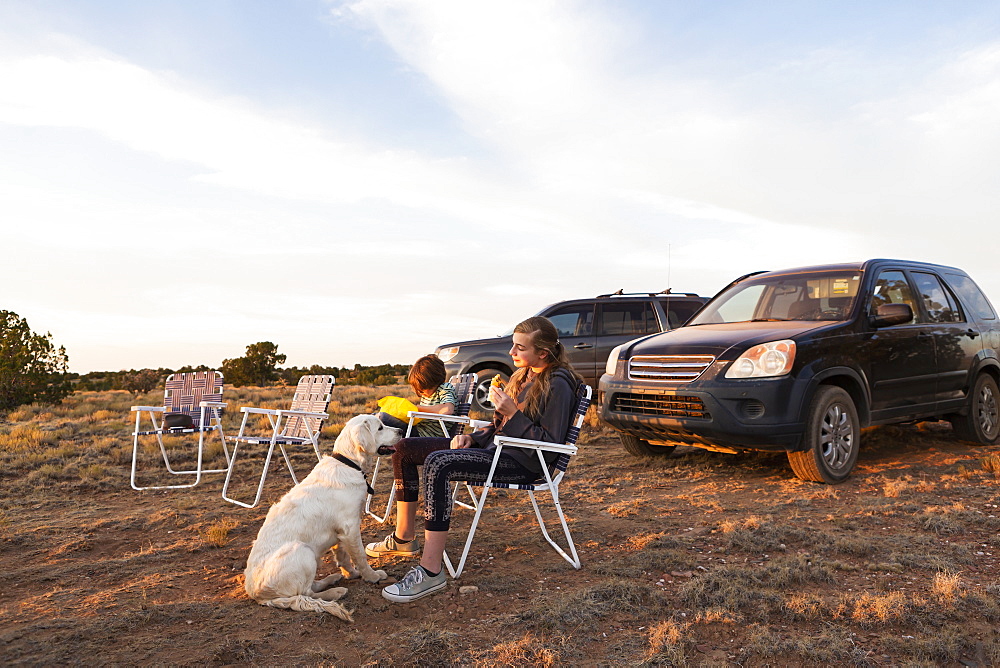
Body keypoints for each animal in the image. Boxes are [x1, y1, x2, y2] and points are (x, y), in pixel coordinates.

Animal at [242, 412, 398, 620]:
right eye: (380, 427)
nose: (401, 431)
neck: (349, 463)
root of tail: (258, 596)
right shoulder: (350, 527)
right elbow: (360, 556)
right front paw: (372, 576)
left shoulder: (340, 531)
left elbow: (343, 556)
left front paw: (351, 574)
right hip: (302, 550)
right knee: (306, 593)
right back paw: (335, 591)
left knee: (310, 588)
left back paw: (332, 579)